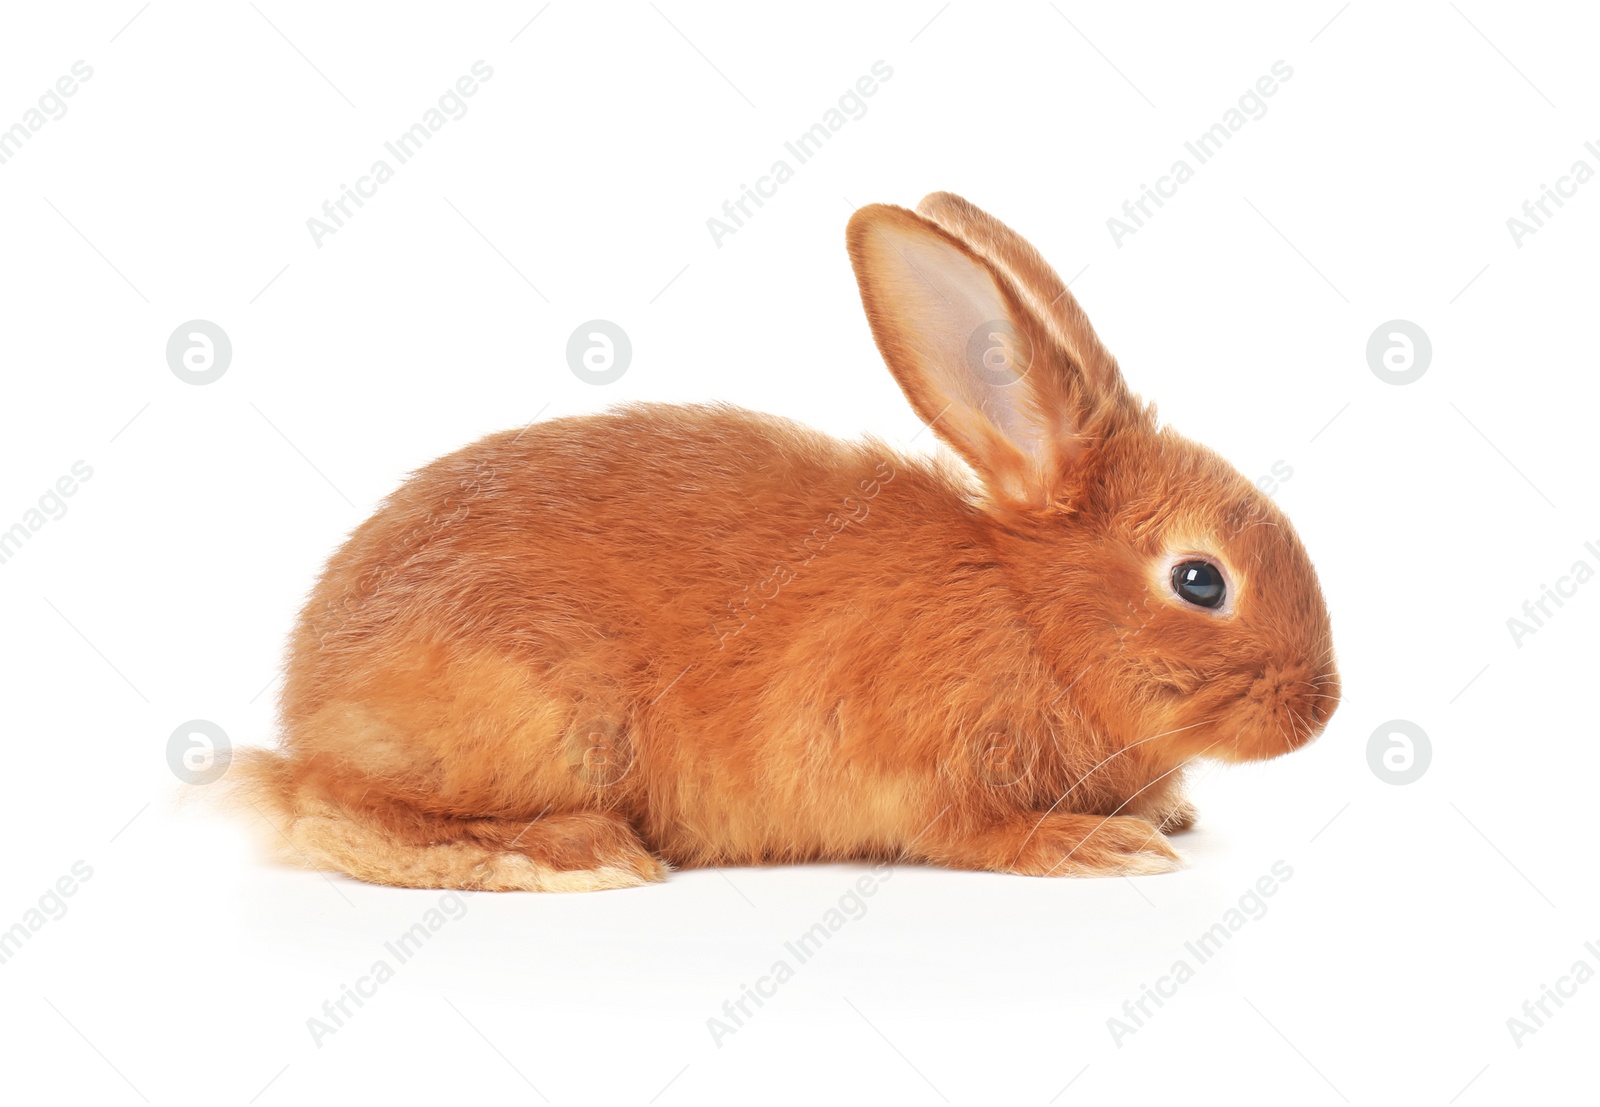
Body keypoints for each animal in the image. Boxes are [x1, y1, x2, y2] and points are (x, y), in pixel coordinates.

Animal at [233, 190, 1337, 889]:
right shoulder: (922, 762)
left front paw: (1160, 819)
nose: (1318, 709)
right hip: (537, 721)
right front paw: (1099, 846)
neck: (1035, 618)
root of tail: (310, 706)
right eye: (1199, 580)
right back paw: (577, 856)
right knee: (336, 813)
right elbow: (973, 830)